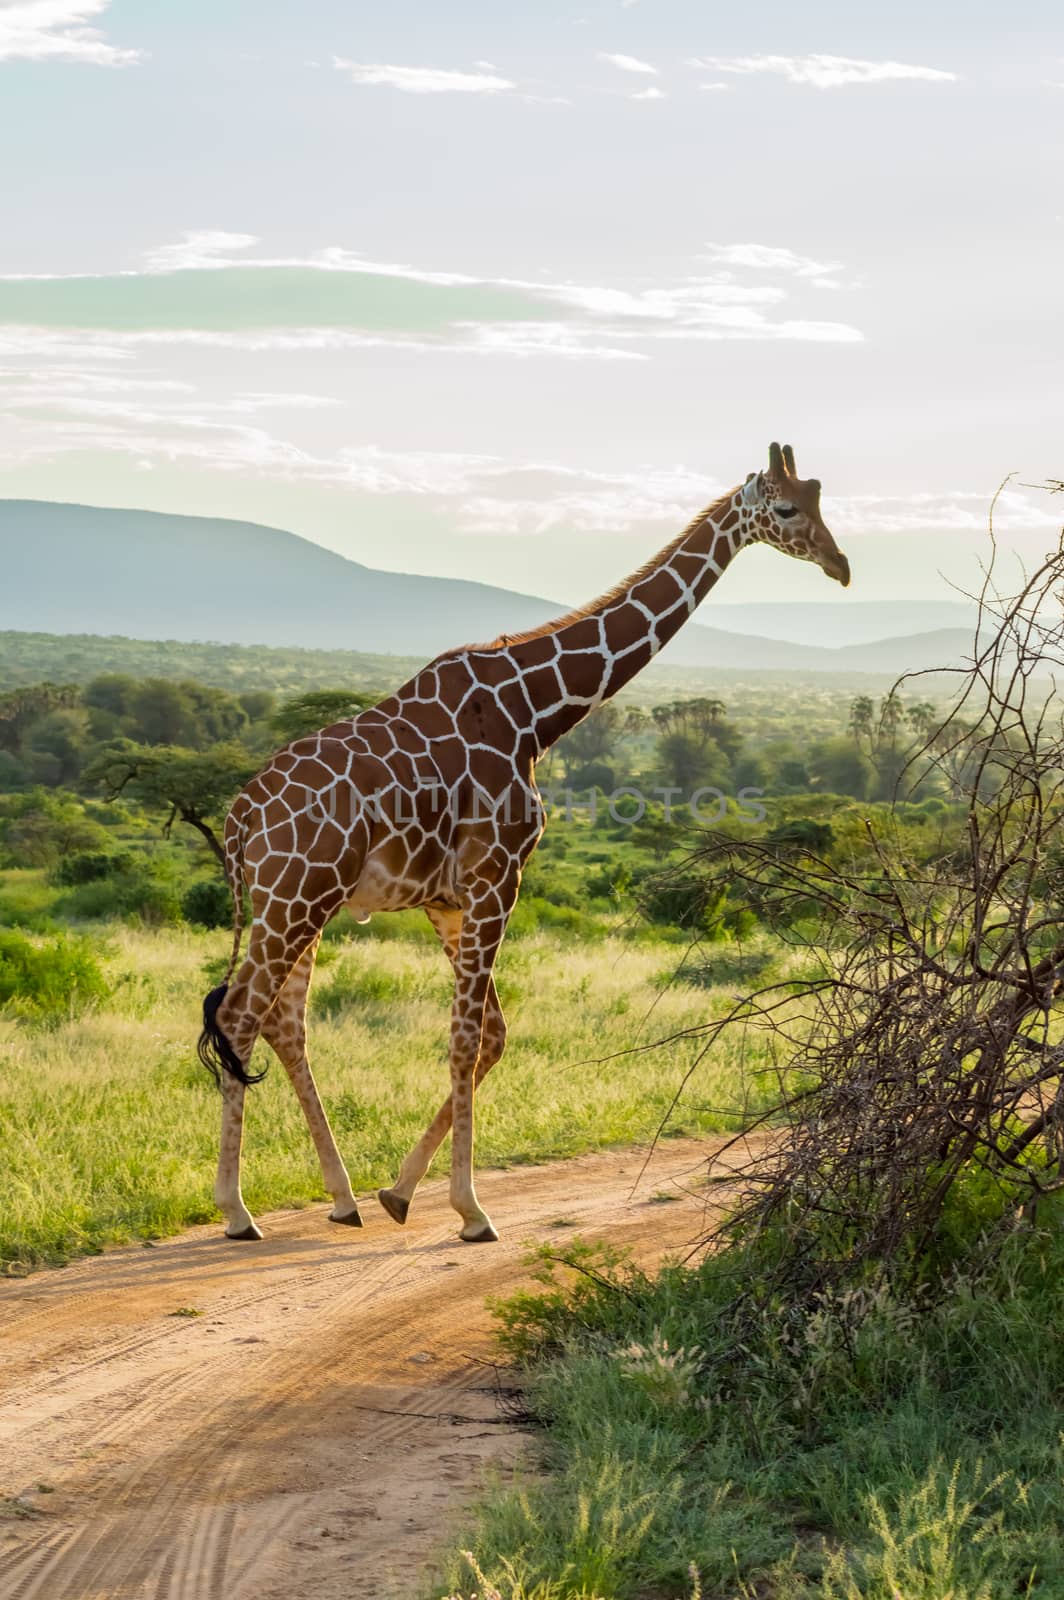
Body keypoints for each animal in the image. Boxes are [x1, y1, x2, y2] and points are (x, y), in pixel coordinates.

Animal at [196, 444, 844, 1241]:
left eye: (820, 501)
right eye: (785, 510)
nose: (841, 565)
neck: (537, 710)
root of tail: (240, 816)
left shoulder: (449, 897)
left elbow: (494, 1037)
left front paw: (399, 1194)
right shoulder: (498, 876)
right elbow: (467, 1038)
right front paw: (472, 1210)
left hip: (295, 902)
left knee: (284, 1024)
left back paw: (342, 1198)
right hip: (296, 897)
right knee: (240, 1017)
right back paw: (236, 1211)